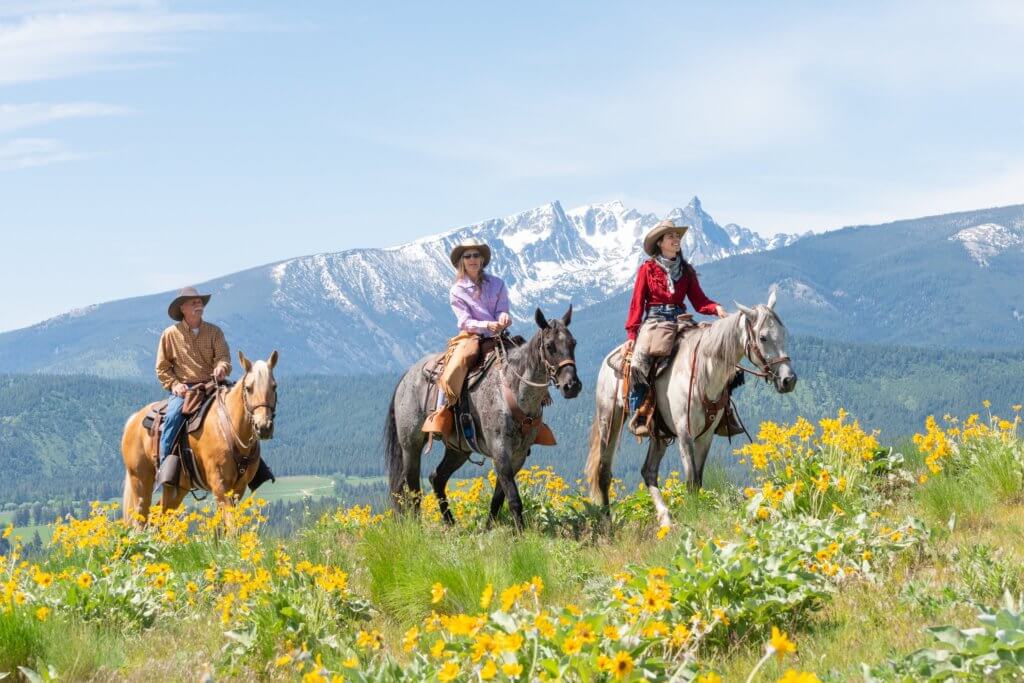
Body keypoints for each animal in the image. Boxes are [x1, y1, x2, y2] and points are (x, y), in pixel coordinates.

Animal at [119, 350, 278, 528]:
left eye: (274, 386)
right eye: (249, 388)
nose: (263, 427)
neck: (230, 429)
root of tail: (133, 420)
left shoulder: (238, 488)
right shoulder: (220, 485)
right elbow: (231, 525)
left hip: (176, 488)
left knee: (160, 517)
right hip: (140, 481)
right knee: (140, 521)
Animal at [385, 305, 581, 532]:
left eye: (573, 343)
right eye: (550, 346)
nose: (572, 386)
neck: (512, 389)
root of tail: (407, 376)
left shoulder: (518, 455)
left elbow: (499, 496)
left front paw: (489, 527)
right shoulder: (500, 449)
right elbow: (513, 497)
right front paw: (522, 534)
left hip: (458, 449)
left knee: (437, 478)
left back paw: (450, 523)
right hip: (411, 445)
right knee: (412, 486)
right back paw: (417, 525)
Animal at [585, 288, 798, 528]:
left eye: (783, 333)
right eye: (763, 337)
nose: (789, 379)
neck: (703, 374)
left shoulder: (705, 436)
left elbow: (698, 481)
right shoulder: (685, 433)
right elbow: (690, 481)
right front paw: (693, 517)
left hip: (659, 432)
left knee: (648, 471)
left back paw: (665, 519)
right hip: (610, 419)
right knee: (604, 471)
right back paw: (607, 522)